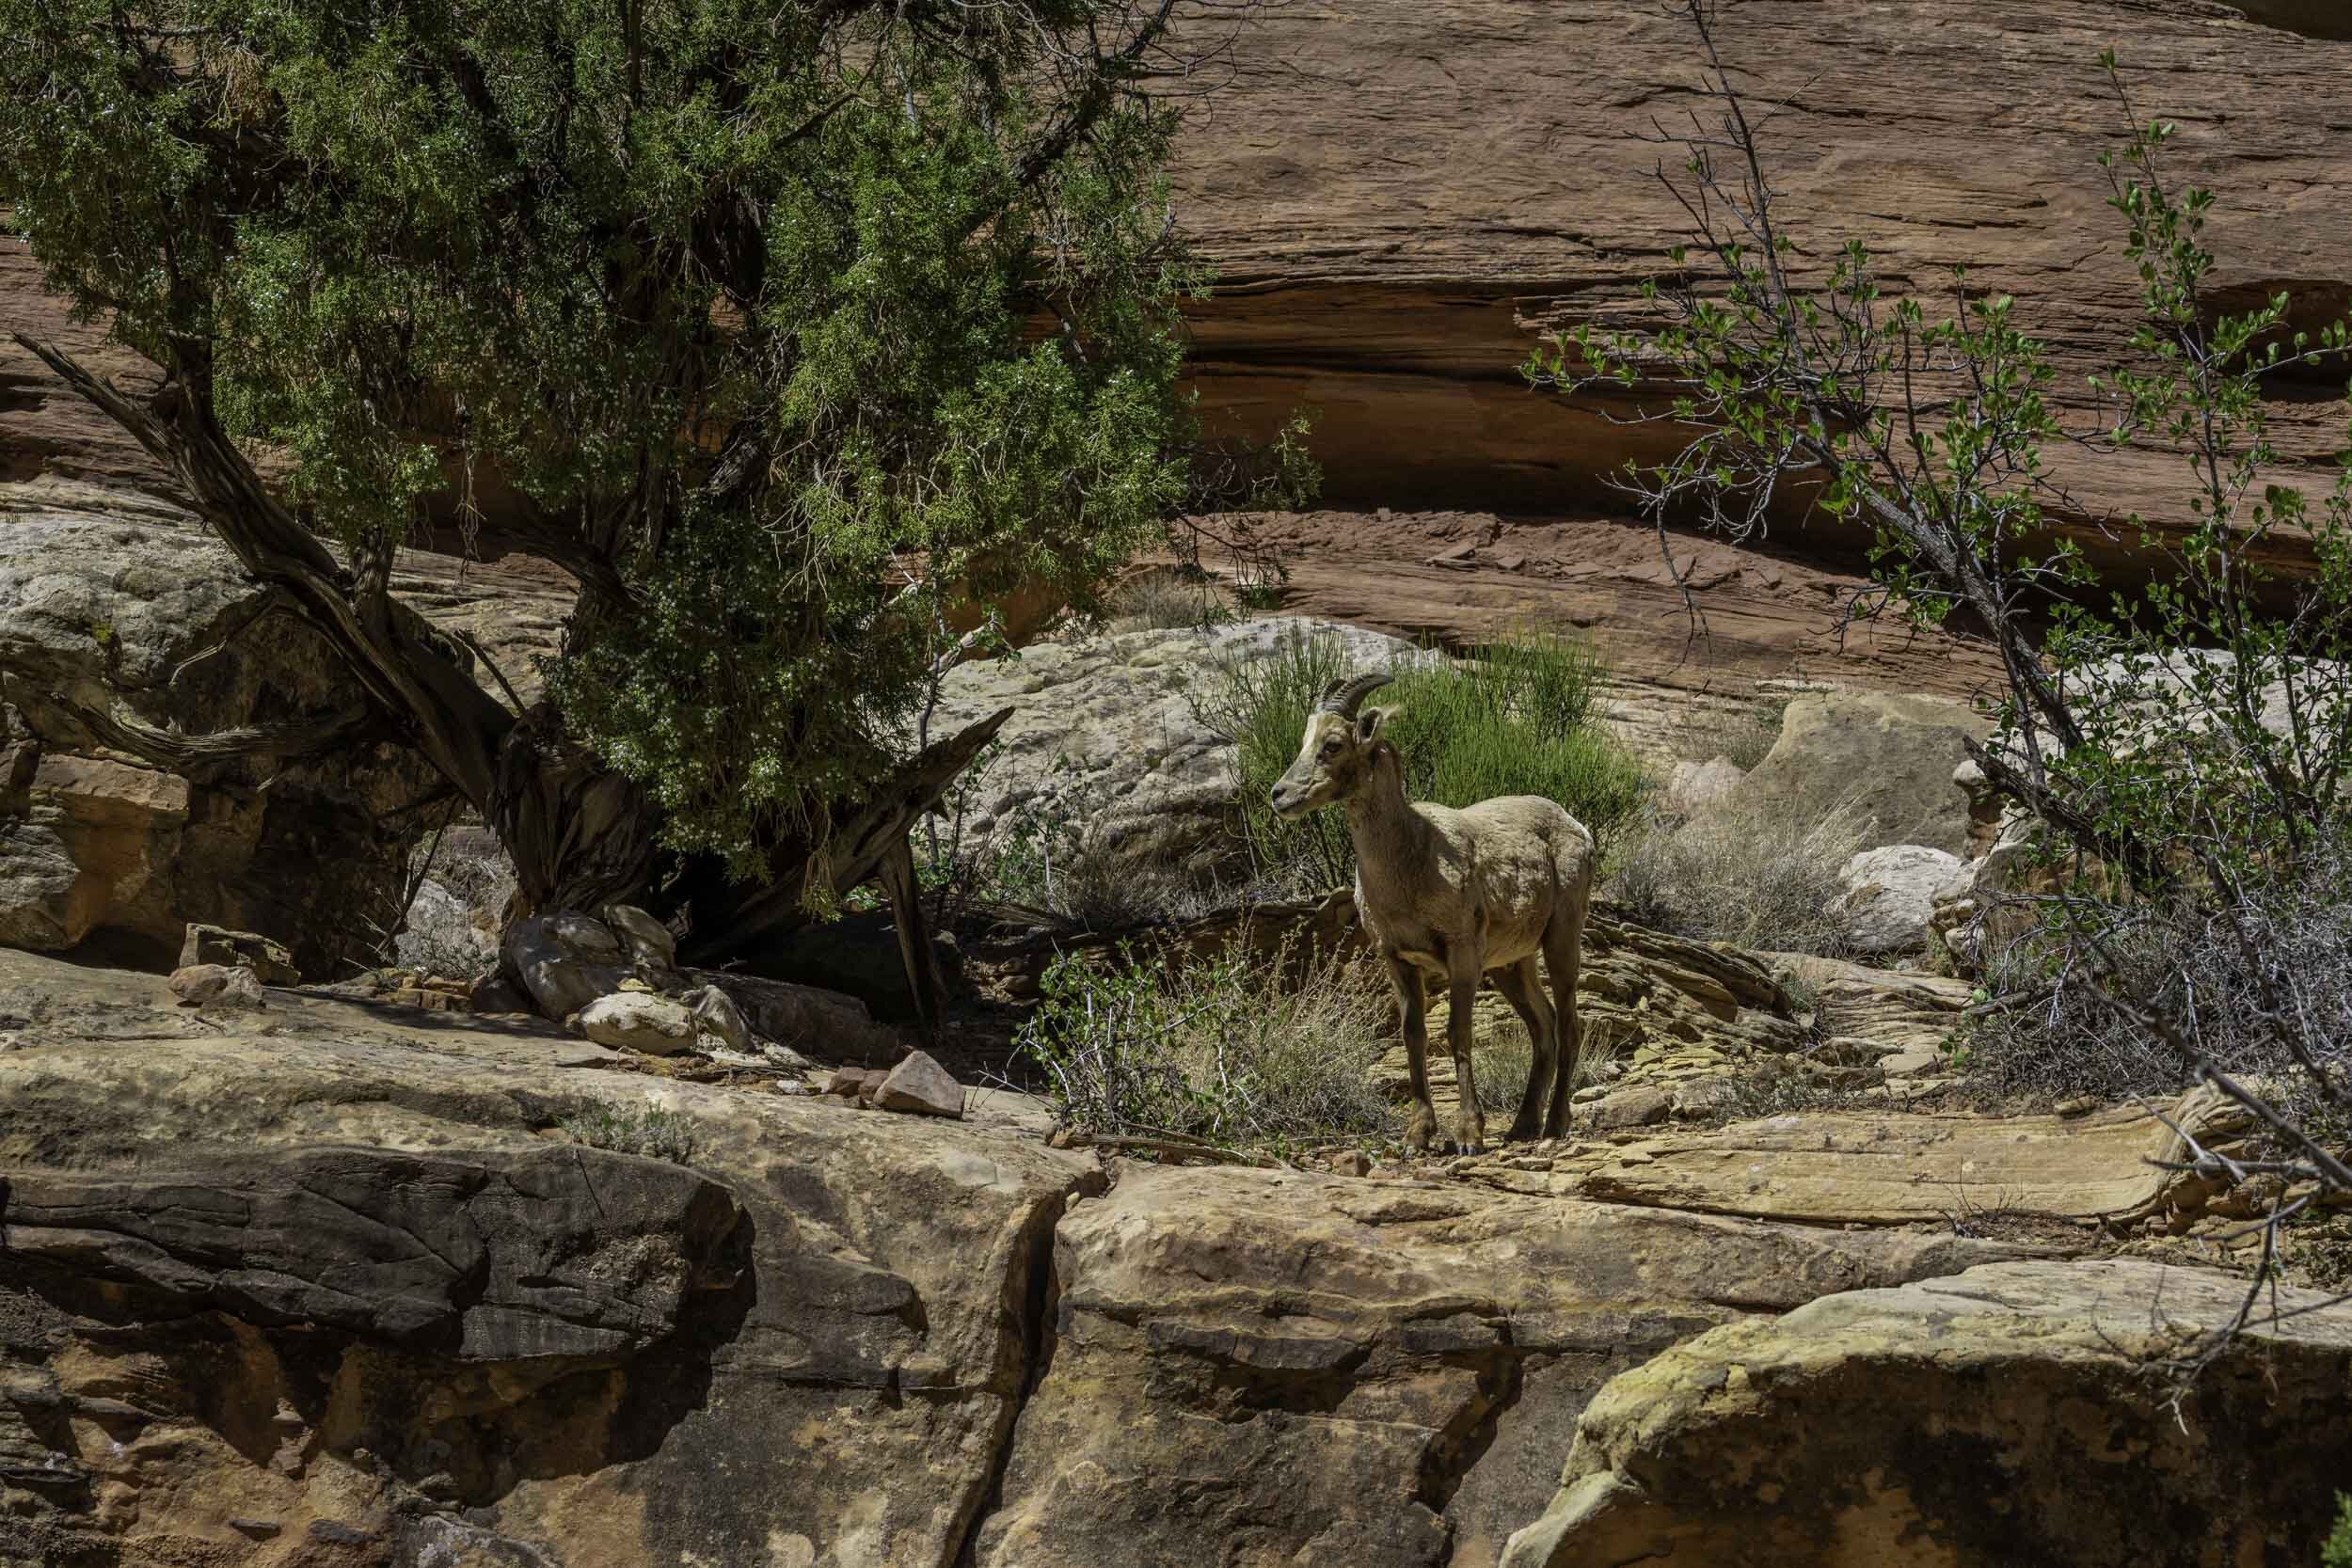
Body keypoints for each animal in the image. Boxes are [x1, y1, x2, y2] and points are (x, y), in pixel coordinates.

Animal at [1269, 670, 1594, 1154]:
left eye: (1333, 744)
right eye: (1305, 740)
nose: (1279, 795)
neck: (1414, 857)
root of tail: (1578, 828)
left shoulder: (1461, 954)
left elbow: (1458, 1034)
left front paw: (1468, 1136)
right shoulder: (1398, 959)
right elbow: (1414, 1036)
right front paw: (1417, 1136)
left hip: (1561, 939)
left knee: (1569, 1025)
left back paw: (1554, 1124)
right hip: (1512, 965)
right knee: (1544, 1027)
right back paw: (1521, 1127)